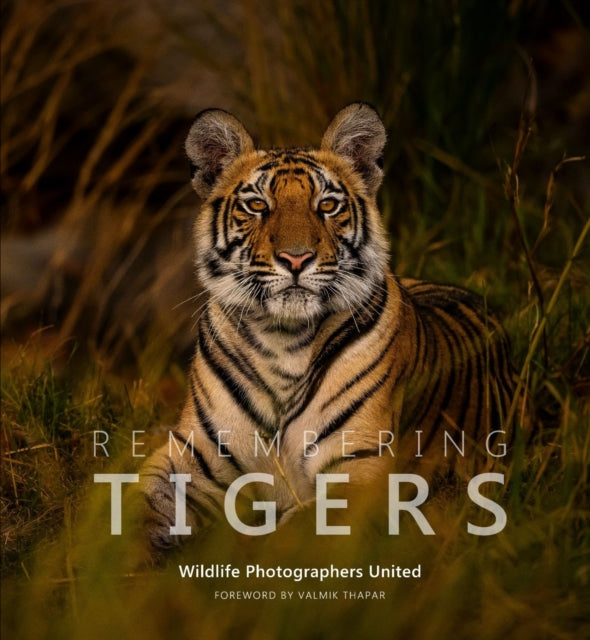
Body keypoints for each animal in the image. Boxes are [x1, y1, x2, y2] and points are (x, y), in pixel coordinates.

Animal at [138, 103, 518, 556]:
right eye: (257, 205)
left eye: (328, 205)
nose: (296, 258)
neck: (281, 339)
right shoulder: (192, 457)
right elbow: (138, 505)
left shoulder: (359, 471)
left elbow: (290, 536)